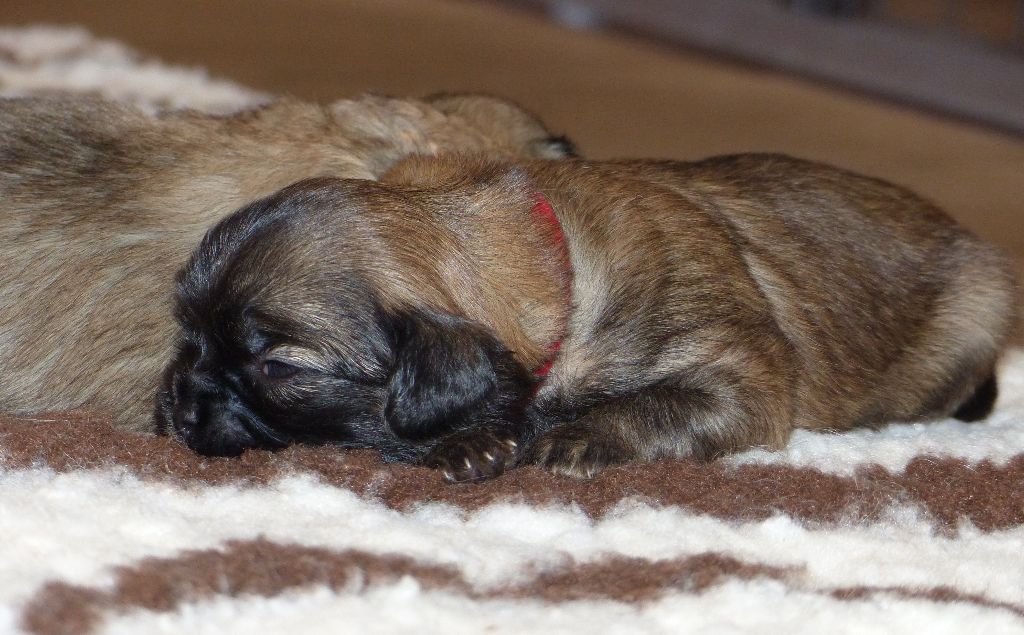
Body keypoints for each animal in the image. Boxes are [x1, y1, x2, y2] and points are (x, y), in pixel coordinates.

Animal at [158, 153, 1018, 480]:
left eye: (275, 366)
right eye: (186, 333)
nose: (174, 401)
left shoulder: (738, 378)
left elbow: (656, 403)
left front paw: (571, 436)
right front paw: (474, 439)